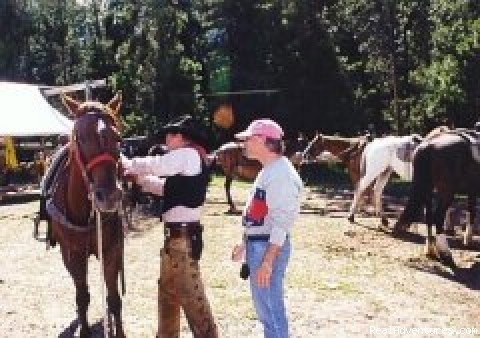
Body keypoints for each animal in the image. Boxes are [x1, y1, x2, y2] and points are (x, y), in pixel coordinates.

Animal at [46, 92, 125, 336]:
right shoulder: (73, 255)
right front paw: (84, 330)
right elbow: (82, 297)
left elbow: (114, 298)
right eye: (79, 137)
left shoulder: (111, 251)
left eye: (118, 139)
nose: (108, 196)